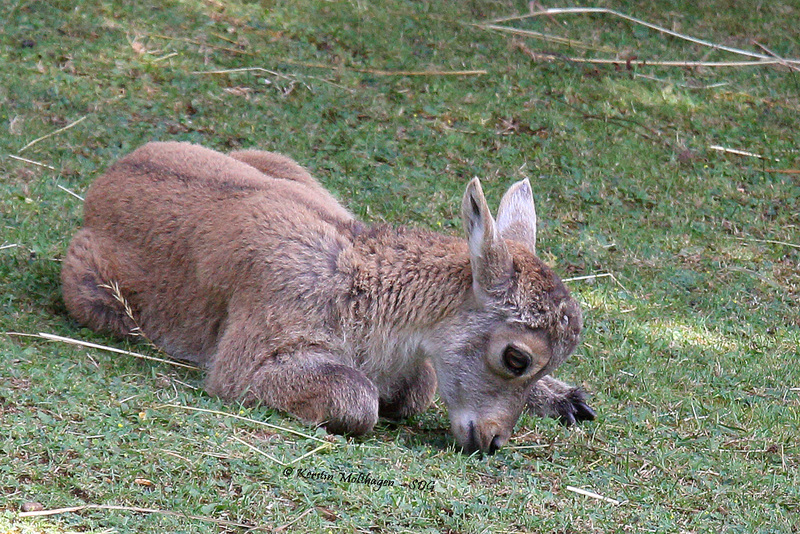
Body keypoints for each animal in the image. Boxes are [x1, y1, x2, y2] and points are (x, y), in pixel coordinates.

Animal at [62, 143, 592, 456]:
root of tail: (109, 177)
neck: (366, 295)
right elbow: (361, 397)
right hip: (97, 295)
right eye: (517, 356)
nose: (492, 439)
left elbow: (419, 385)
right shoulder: (248, 356)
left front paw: (563, 398)